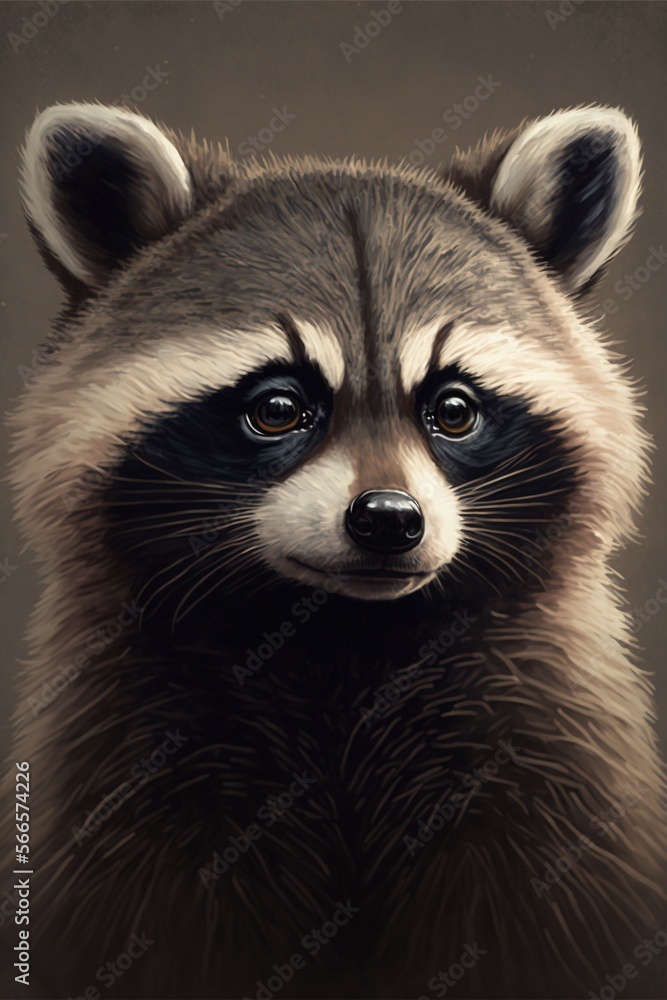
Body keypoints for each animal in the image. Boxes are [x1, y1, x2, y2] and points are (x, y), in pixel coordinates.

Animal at [1, 101, 665, 1000]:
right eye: (277, 406)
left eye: (453, 408)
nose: (387, 519)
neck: (341, 637)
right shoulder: (132, 756)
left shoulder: (546, 745)